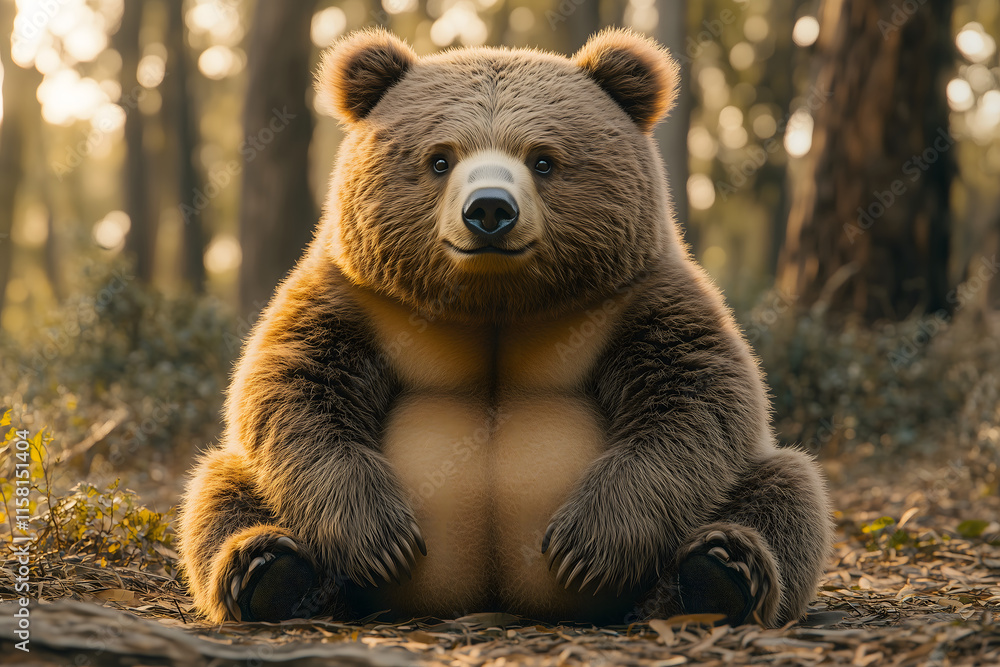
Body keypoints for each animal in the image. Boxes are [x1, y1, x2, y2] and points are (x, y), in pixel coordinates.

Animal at [177, 27, 833, 628]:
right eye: (440, 158)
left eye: (542, 159)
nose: (490, 209)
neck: (495, 304)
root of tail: (489, 600)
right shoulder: (357, 299)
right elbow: (294, 391)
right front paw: (385, 540)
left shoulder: (635, 299)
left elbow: (693, 400)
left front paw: (582, 547)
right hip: (255, 488)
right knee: (219, 489)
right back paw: (272, 572)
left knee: (785, 487)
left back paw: (718, 572)